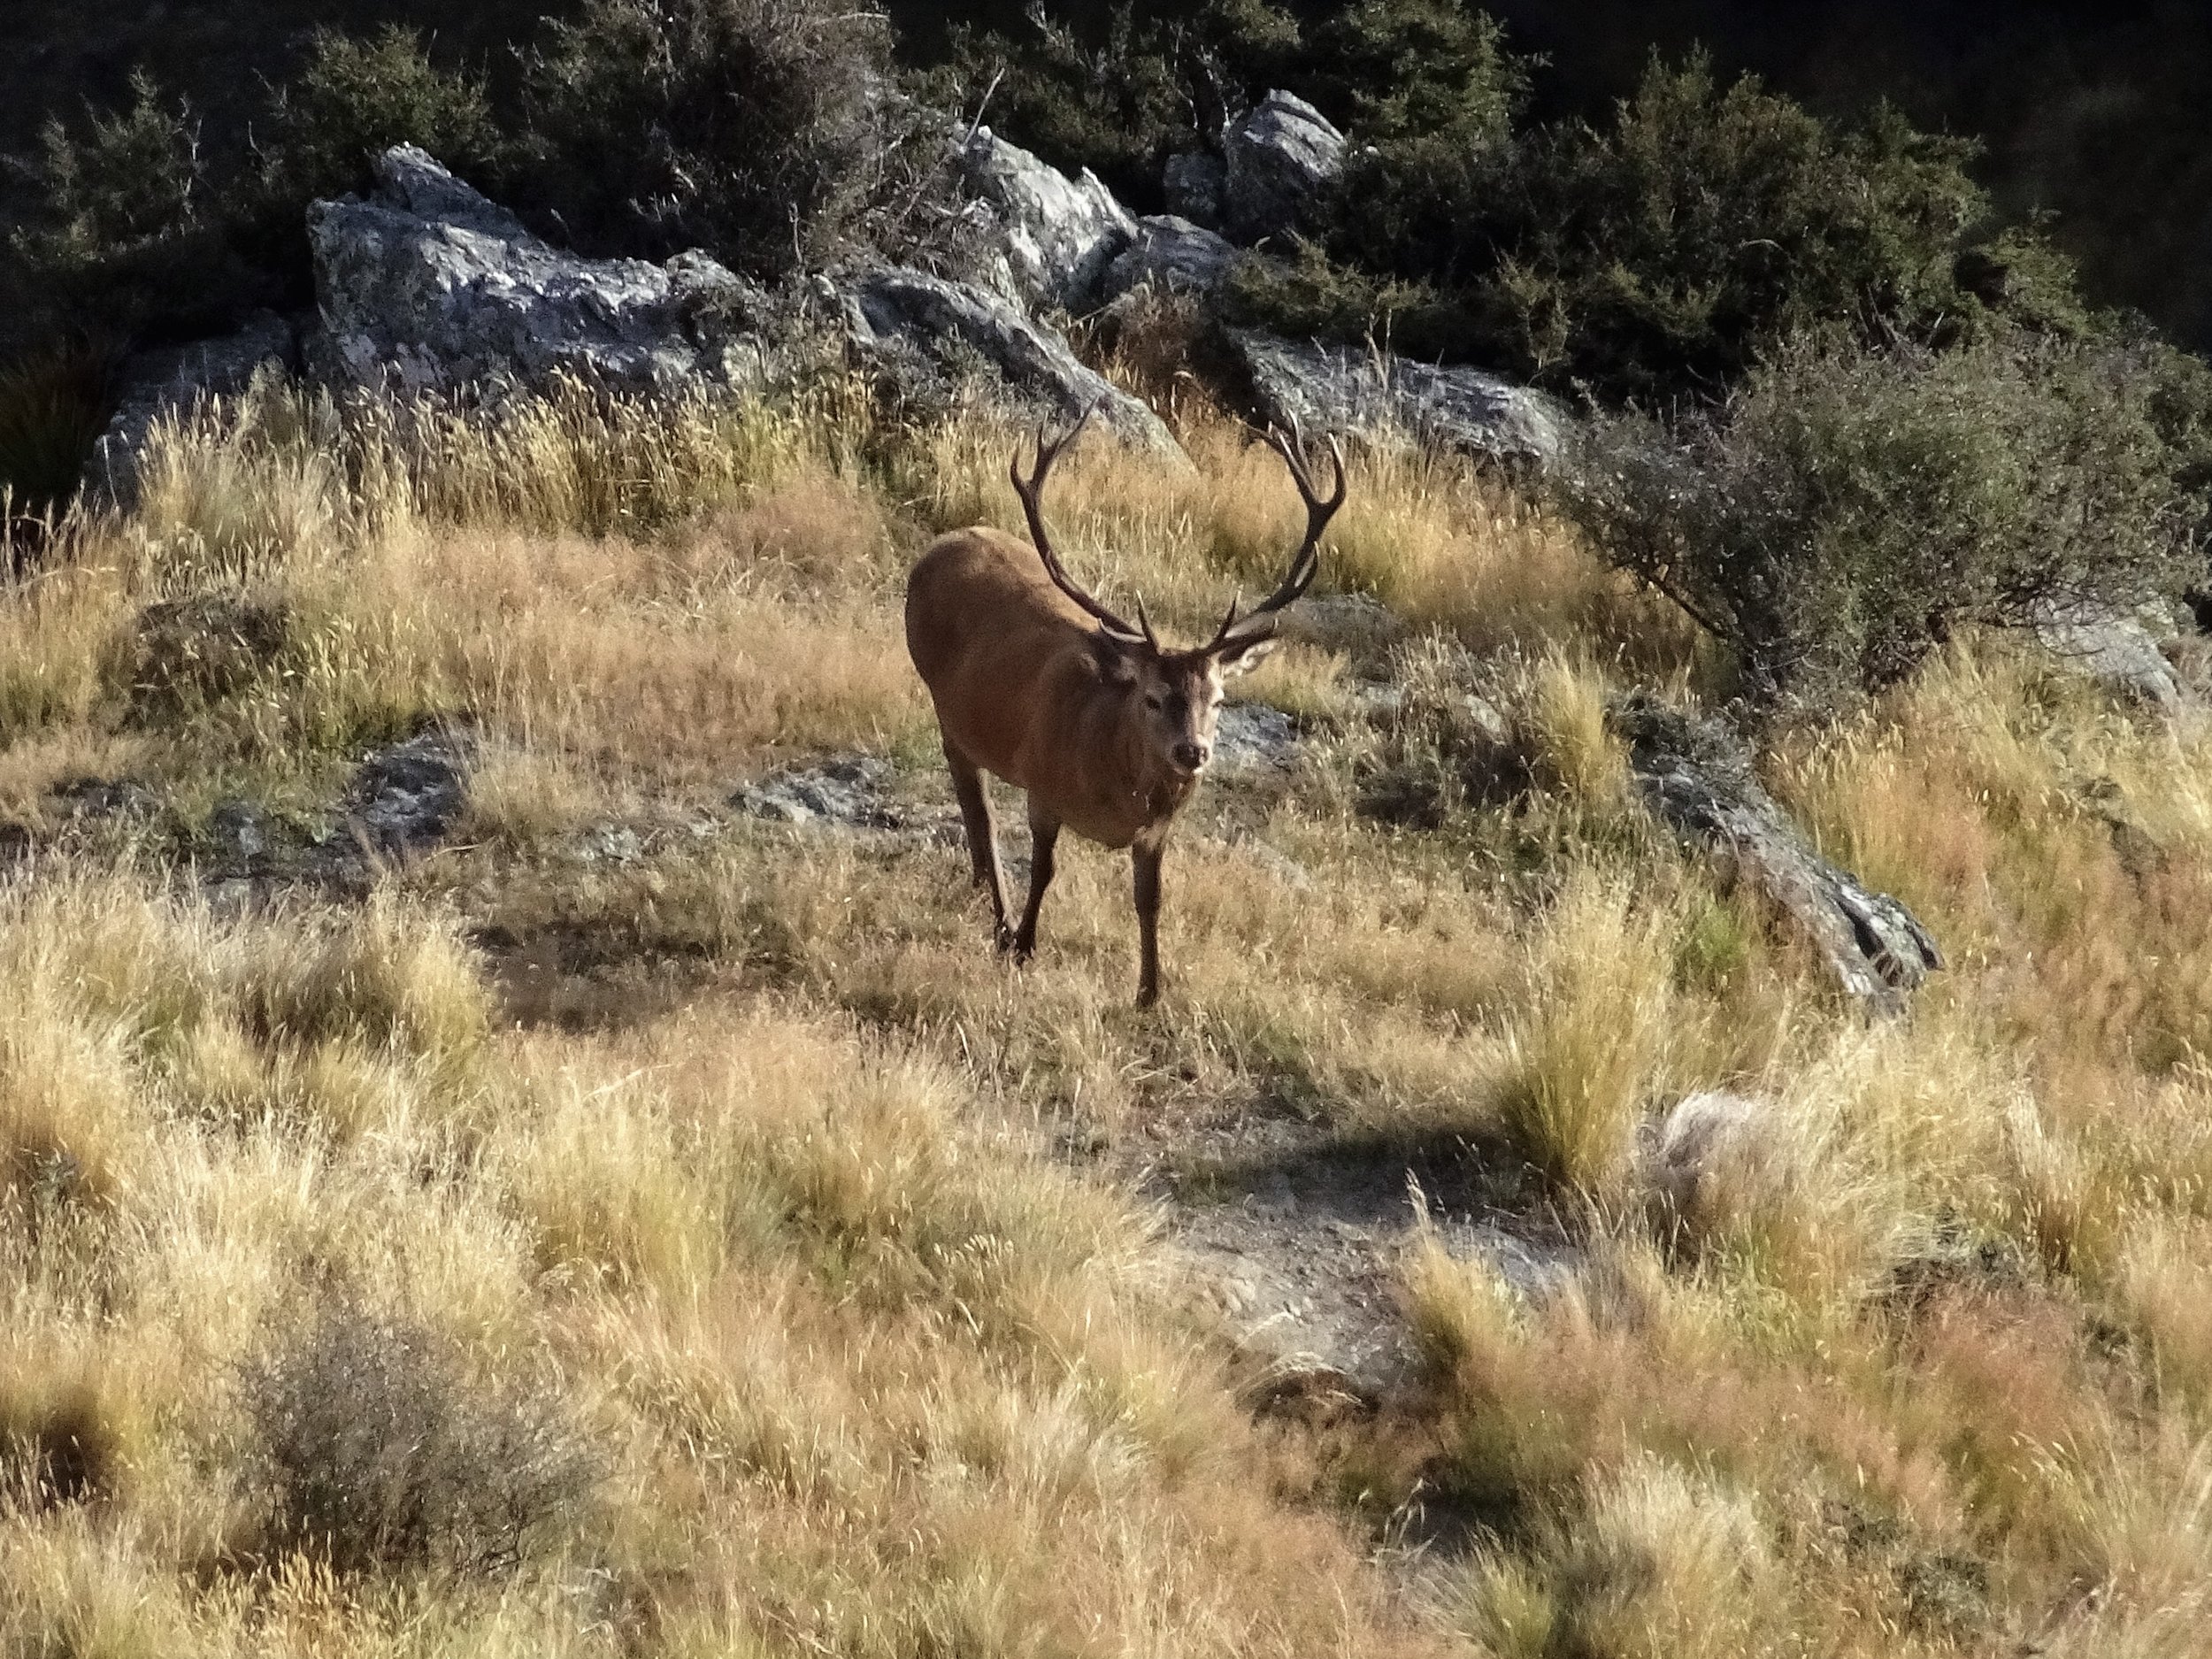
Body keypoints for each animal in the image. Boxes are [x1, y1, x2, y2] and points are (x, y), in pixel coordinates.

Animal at [904, 408, 1346, 1008]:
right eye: (1152, 697)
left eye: (1219, 699)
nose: (1193, 752)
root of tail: (935, 549)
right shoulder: (1042, 785)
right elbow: (1044, 869)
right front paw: (1024, 947)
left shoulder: (1156, 831)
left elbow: (1150, 899)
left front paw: (1151, 993)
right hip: (944, 705)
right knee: (981, 812)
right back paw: (1000, 922)